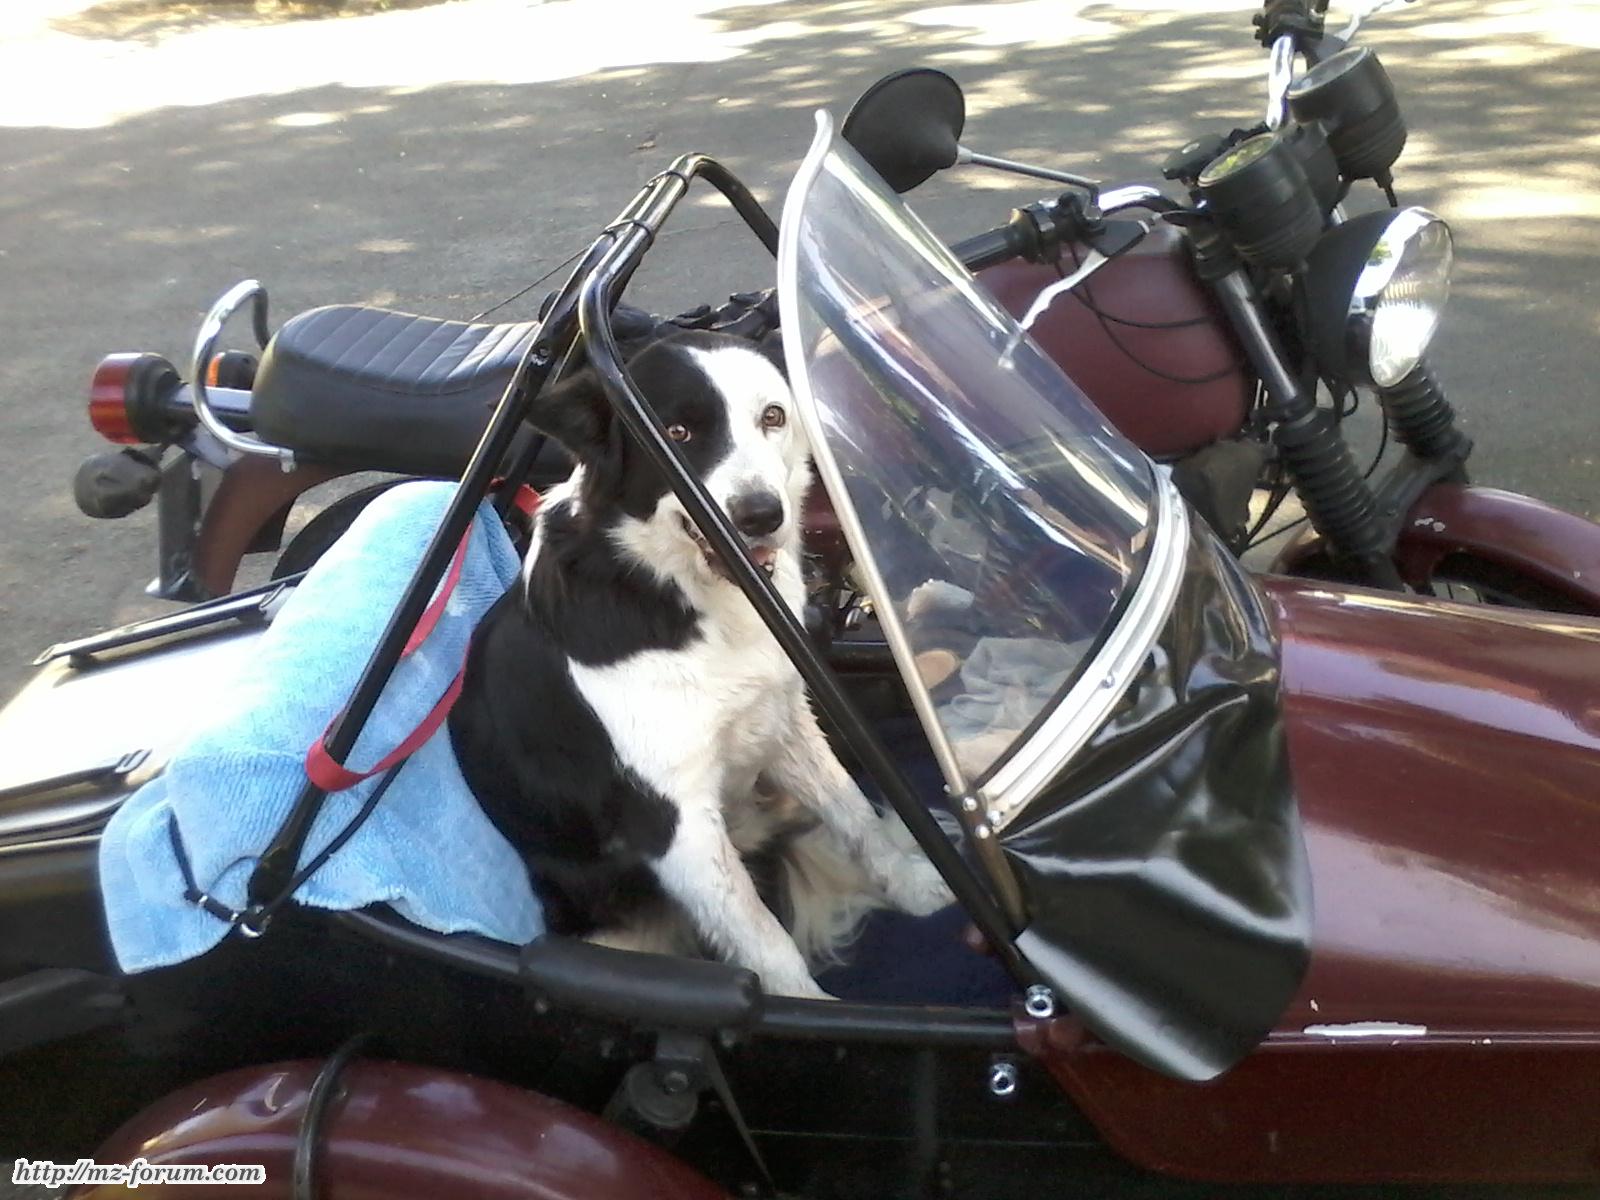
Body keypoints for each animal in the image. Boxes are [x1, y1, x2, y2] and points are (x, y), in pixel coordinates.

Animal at [449, 329, 953, 998]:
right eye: (677, 432)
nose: (760, 516)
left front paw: (918, 886)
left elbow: (855, 815)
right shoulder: (676, 823)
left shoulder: (784, 718)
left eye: (773, 416)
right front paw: (805, 1005)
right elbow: (763, 938)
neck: (674, 594)